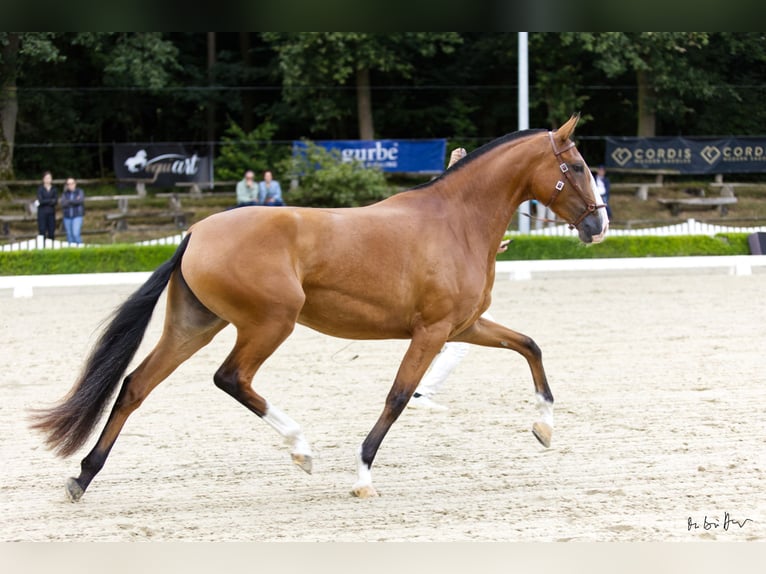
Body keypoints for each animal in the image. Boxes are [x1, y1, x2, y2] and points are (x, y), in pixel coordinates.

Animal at [28, 115, 608, 502]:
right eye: (578, 165)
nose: (598, 225)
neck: (455, 221)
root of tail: (195, 233)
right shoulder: (432, 331)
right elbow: (398, 397)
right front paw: (362, 477)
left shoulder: (463, 326)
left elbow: (529, 346)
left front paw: (544, 428)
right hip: (269, 324)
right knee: (230, 378)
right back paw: (301, 449)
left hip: (195, 326)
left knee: (135, 387)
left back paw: (82, 477)